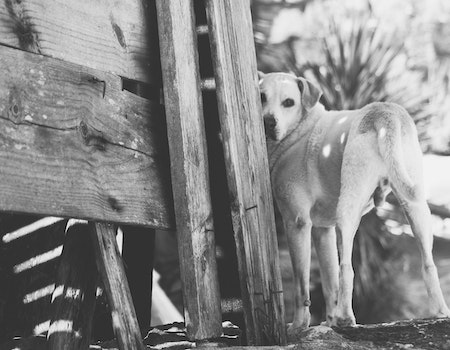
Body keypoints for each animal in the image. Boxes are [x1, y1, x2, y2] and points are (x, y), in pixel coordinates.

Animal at [258, 72, 450, 334]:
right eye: (261, 97)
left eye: (289, 102)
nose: (268, 122)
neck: (300, 132)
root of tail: (384, 112)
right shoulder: (322, 231)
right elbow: (329, 281)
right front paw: (327, 322)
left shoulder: (296, 223)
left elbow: (301, 285)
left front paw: (299, 325)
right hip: (417, 207)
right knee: (428, 264)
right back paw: (440, 313)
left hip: (347, 212)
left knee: (347, 268)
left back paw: (345, 318)